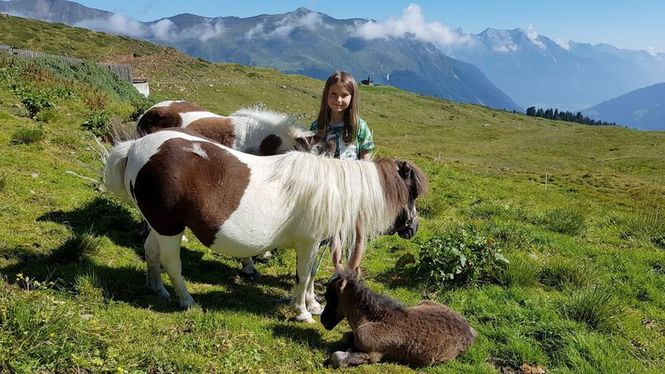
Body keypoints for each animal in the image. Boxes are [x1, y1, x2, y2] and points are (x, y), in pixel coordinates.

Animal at [104, 129, 426, 322]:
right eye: (411, 193)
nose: (413, 228)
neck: (332, 189)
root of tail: (137, 146)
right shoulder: (308, 244)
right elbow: (302, 276)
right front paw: (302, 312)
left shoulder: (315, 245)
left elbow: (310, 276)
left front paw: (312, 304)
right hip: (170, 227)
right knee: (172, 262)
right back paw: (187, 300)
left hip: (158, 225)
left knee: (152, 252)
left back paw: (157, 289)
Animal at [320, 270, 474, 366]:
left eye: (329, 297)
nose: (323, 320)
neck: (372, 318)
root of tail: (471, 332)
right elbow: (345, 337)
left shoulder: (374, 355)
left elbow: (337, 357)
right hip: (423, 301)